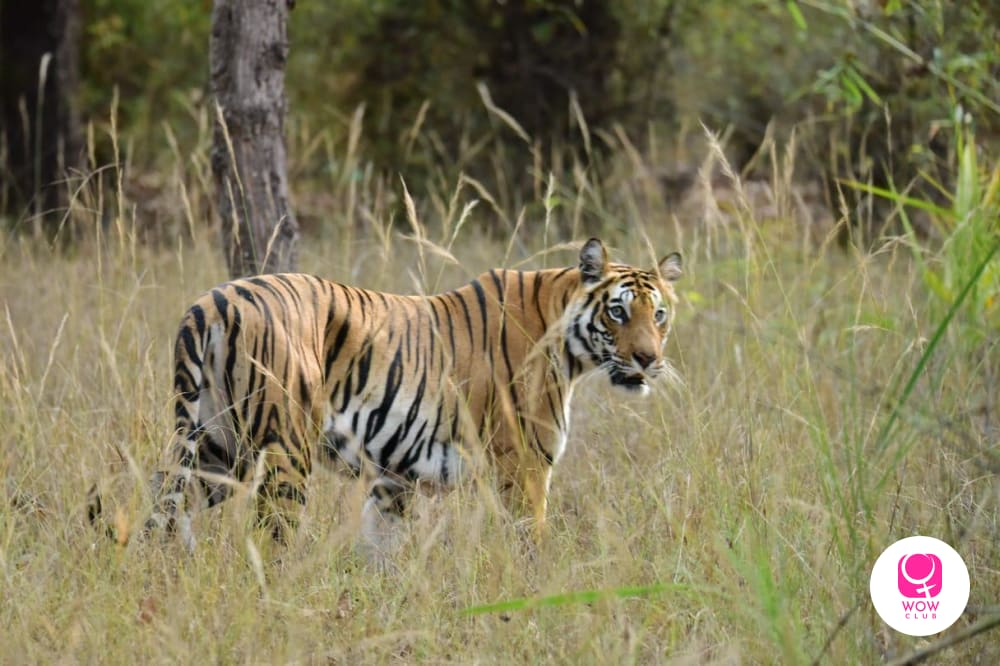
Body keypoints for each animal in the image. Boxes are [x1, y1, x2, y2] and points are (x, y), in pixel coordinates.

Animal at [86, 236, 684, 552]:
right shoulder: (525, 464)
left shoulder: (395, 478)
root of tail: (208, 303)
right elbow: (530, 539)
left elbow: (381, 548)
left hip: (213, 445)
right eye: (618, 312)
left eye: (658, 314)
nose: (648, 359)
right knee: (270, 536)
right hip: (283, 449)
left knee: (161, 511)